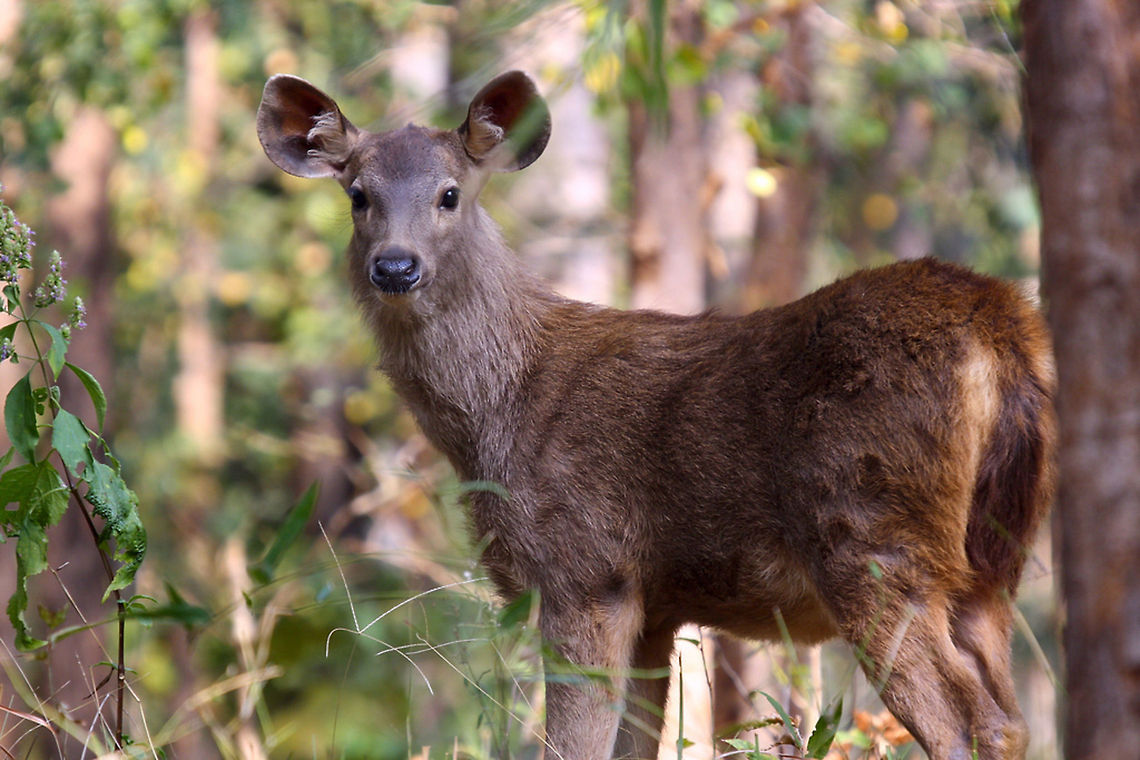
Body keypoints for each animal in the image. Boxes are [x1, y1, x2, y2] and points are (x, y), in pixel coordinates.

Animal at [257, 70, 1056, 760]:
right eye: (358, 196)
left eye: (450, 194)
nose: (395, 266)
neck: (494, 419)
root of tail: (999, 321)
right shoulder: (656, 605)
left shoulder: (585, 569)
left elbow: (572, 747)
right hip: (993, 562)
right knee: (1008, 720)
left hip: (872, 539)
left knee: (959, 725)